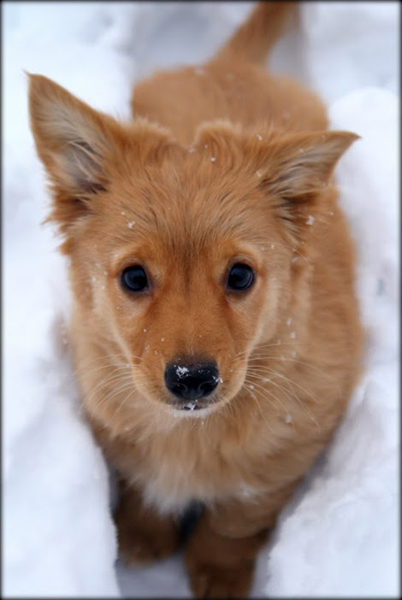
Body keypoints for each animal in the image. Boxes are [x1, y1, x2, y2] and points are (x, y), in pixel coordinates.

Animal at [28, 2, 364, 596]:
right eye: (134, 278)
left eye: (241, 275)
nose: (192, 379)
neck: (191, 434)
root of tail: (227, 64)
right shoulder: (117, 432)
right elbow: (142, 488)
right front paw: (143, 536)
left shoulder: (284, 458)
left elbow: (235, 519)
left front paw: (217, 572)